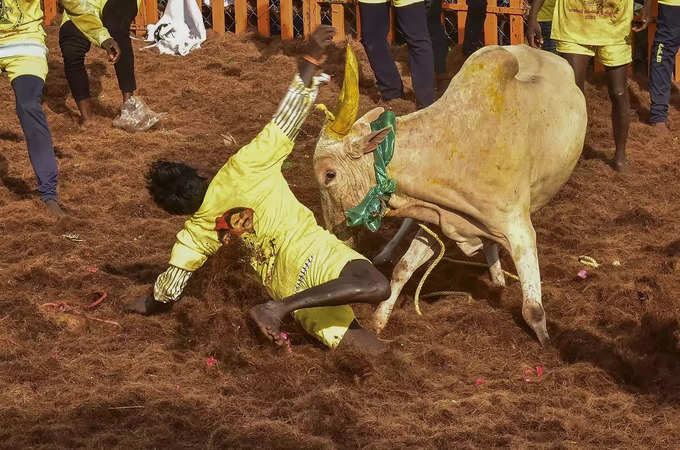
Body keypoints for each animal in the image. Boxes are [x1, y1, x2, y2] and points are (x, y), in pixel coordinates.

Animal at [312, 44, 584, 344]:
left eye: (329, 175)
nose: (336, 233)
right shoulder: (440, 218)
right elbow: (402, 269)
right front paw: (379, 321)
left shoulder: (519, 229)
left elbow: (533, 309)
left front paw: (546, 343)